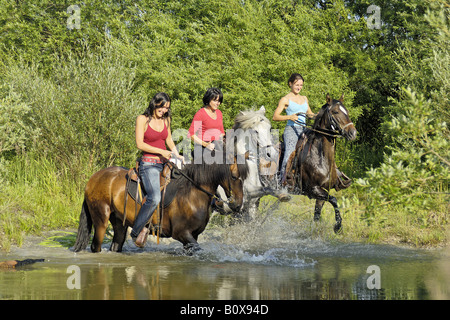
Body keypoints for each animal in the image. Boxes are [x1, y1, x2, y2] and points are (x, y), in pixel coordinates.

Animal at [74, 151, 250, 255]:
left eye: (245, 176)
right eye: (234, 176)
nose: (238, 204)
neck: (193, 192)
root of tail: (93, 179)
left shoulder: (192, 236)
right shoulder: (181, 233)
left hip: (119, 223)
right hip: (101, 220)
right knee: (95, 246)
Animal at [286, 94, 356, 232]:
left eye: (347, 111)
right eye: (335, 112)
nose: (353, 133)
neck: (319, 158)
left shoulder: (322, 190)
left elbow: (317, 214)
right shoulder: (313, 189)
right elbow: (333, 199)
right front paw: (338, 226)